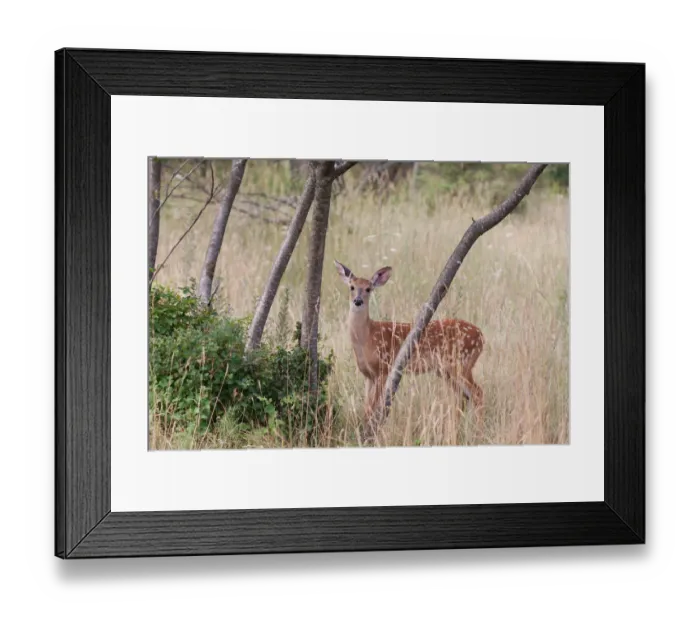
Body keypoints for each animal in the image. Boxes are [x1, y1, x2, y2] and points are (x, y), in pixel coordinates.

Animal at [334, 260, 485, 440]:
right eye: (352, 287)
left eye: (368, 289)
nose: (357, 301)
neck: (366, 338)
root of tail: (482, 337)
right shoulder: (368, 375)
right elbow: (366, 408)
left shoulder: (384, 368)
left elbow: (373, 408)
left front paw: (369, 435)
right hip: (445, 370)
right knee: (463, 396)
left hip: (460, 363)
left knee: (477, 393)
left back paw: (479, 434)